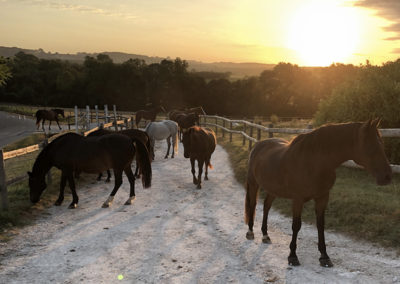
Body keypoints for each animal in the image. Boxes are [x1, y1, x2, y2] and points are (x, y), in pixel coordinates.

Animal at [245, 118, 392, 268]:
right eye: (371, 146)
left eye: (381, 144)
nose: (387, 176)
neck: (314, 163)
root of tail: (258, 145)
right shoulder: (298, 199)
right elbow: (296, 226)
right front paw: (292, 256)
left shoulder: (322, 197)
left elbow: (321, 225)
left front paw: (324, 257)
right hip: (254, 184)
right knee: (252, 205)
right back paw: (250, 232)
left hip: (273, 189)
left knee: (266, 206)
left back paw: (265, 235)